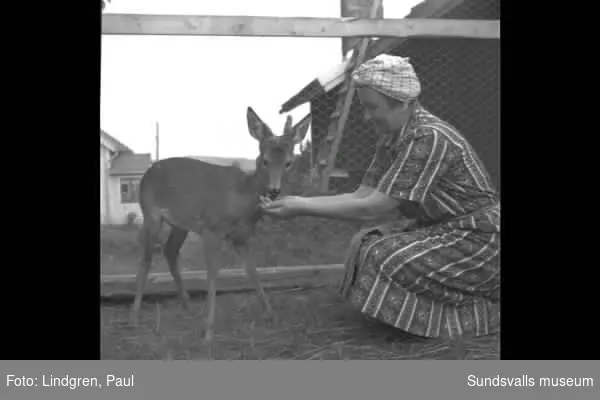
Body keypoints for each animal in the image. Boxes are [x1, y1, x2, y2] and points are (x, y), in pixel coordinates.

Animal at [130, 107, 310, 344]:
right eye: (265, 160)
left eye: (289, 162)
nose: (274, 191)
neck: (240, 200)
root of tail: (147, 173)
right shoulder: (210, 230)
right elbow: (212, 275)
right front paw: (208, 331)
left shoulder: (241, 237)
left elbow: (253, 272)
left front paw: (271, 315)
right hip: (150, 213)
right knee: (146, 259)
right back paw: (135, 314)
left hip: (181, 223)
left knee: (170, 251)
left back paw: (187, 305)